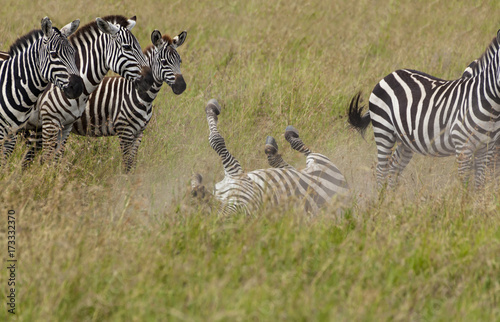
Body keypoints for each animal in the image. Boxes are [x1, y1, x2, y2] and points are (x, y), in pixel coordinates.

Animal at [68, 28, 188, 172]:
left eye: (180, 61)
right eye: (164, 62)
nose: (182, 86)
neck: (140, 95)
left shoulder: (139, 132)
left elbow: (133, 162)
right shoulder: (124, 131)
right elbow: (127, 164)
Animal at [191, 99, 348, 218]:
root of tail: (347, 191)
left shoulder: (237, 174)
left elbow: (216, 140)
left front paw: (211, 108)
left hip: (320, 160)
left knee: (305, 151)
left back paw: (288, 137)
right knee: (289, 164)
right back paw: (274, 148)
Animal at [348, 29, 500, 189]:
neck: (491, 107)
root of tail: (390, 75)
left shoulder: (487, 149)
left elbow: (479, 185)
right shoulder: (463, 146)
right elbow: (465, 184)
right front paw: (463, 196)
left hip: (405, 141)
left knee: (394, 168)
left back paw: (390, 195)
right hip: (384, 130)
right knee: (381, 170)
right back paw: (380, 195)